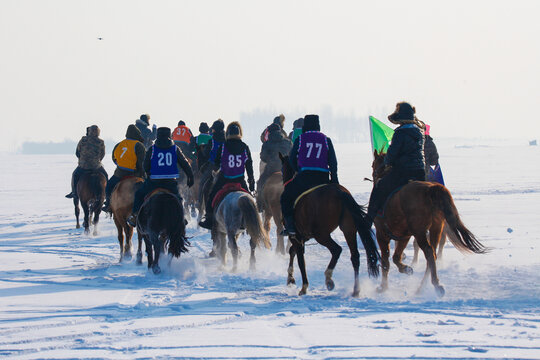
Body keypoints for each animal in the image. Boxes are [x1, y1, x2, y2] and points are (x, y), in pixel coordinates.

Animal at [278, 153, 380, 296]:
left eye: (282, 169)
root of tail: (340, 193)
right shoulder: (303, 236)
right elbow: (293, 252)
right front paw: (290, 278)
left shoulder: (296, 236)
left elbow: (300, 260)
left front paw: (303, 286)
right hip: (348, 229)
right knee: (355, 257)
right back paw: (355, 289)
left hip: (321, 234)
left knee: (337, 250)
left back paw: (329, 278)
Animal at [372, 150, 486, 296]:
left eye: (373, 165)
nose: (374, 175)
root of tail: (431, 189)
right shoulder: (404, 236)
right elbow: (396, 257)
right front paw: (406, 269)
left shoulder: (382, 234)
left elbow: (386, 261)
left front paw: (383, 287)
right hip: (435, 229)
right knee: (432, 254)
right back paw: (422, 287)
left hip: (420, 232)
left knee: (429, 253)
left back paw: (435, 285)